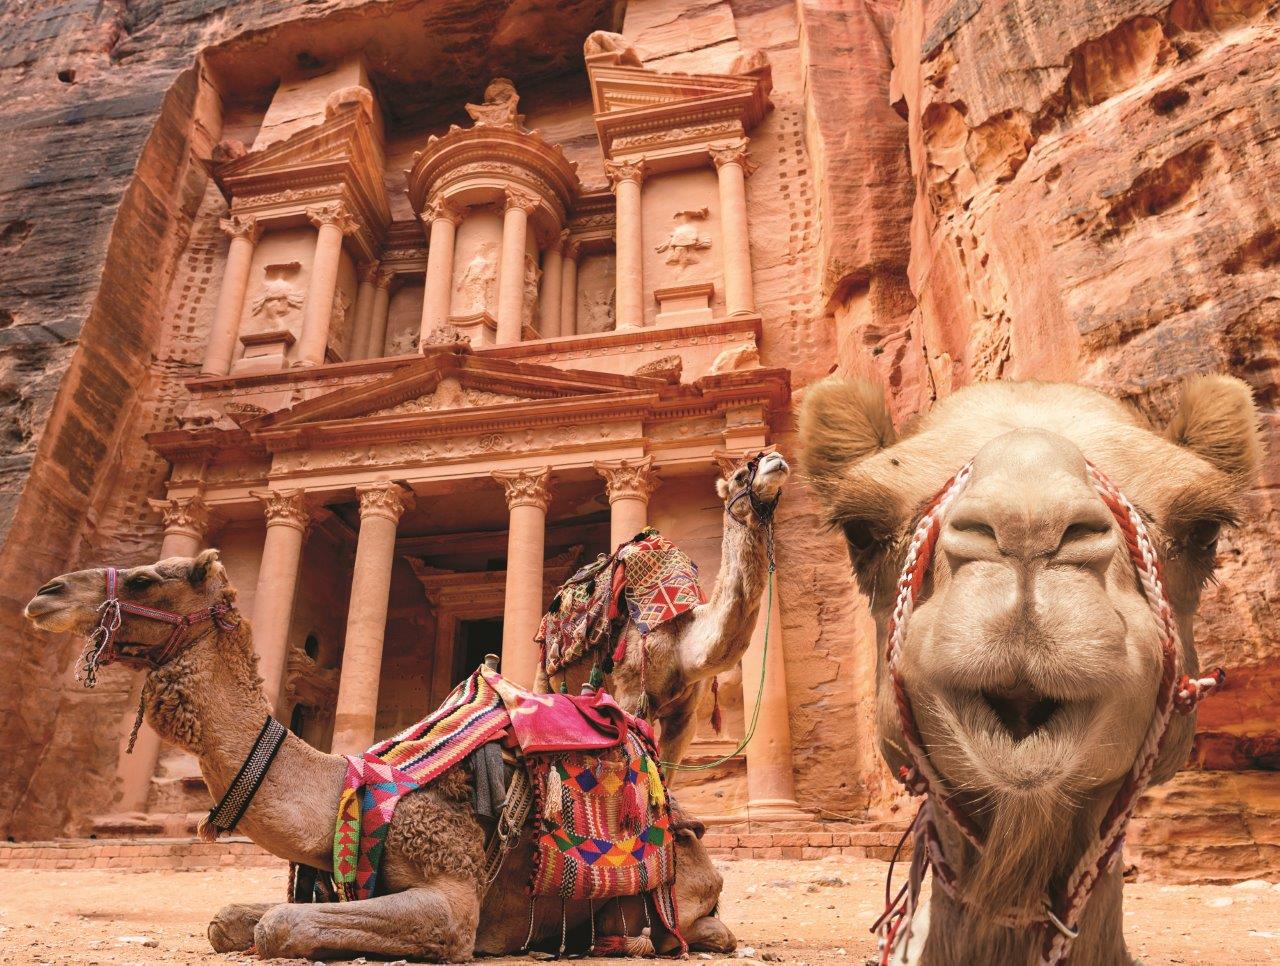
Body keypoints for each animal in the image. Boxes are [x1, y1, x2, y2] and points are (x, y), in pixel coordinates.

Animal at [23, 550, 735, 960]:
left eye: (146, 579)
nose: (45, 591)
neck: (347, 788)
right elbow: (230, 920)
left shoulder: (452, 895)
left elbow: (279, 927)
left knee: (698, 926)